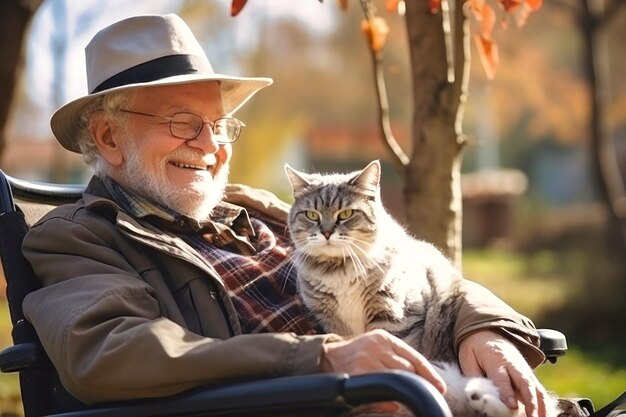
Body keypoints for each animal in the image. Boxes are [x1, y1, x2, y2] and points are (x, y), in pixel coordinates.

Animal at [284, 160, 556, 417]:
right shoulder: (330, 321)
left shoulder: (395, 316)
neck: (340, 269)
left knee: (510, 407)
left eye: (346, 213)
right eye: (311, 215)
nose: (326, 232)